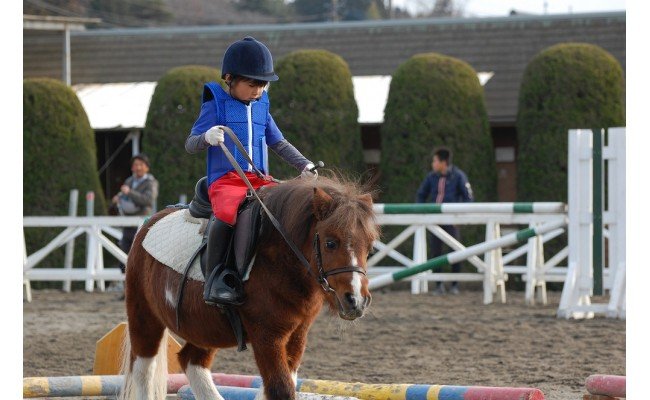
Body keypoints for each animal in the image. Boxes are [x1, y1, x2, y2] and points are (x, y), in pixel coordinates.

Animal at [120, 175, 380, 400]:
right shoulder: (267, 336)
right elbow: (281, 389)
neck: (278, 258)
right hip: (144, 316)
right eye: (330, 243)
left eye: (369, 246)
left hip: (206, 328)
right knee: (144, 370)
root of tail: (150, 223)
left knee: (191, 361)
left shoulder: (298, 333)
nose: (356, 300)